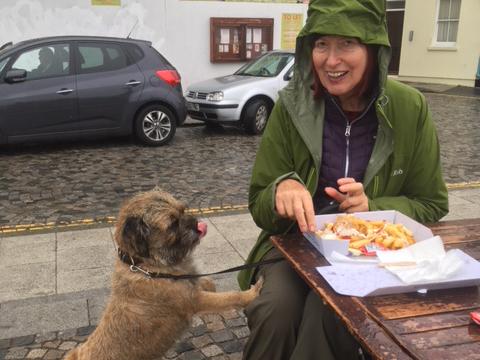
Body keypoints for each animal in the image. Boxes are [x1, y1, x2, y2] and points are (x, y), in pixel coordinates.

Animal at [64, 188, 262, 360]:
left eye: (183, 210)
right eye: (173, 224)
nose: (194, 222)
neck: (146, 265)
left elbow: (206, 282)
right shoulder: (195, 300)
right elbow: (230, 296)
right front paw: (251, 294)